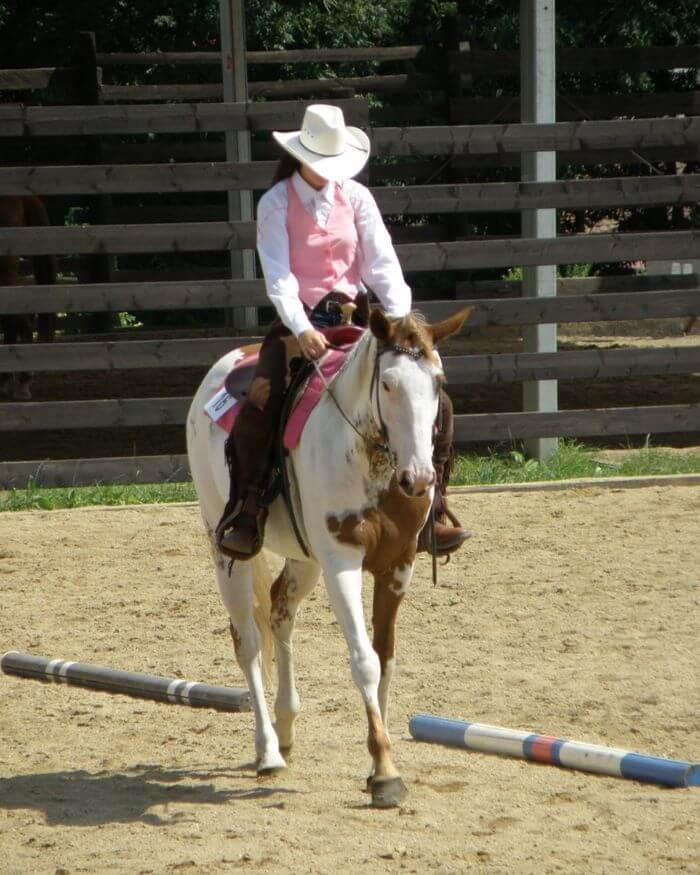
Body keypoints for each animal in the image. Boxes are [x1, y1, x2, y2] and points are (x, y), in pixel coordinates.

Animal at [186, 306, 470, 808]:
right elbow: (364, 661)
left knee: (279, 611)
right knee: (248, 642)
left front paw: (380, 760)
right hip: (226, 551)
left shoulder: (398, 565)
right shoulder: (342, 564)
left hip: (305, 559)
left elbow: (386, 658)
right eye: (388, 383)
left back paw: (285, 728)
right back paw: (267, 750)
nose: (419, 479)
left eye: (437, 382)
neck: (373, 461)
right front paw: (385, 772)